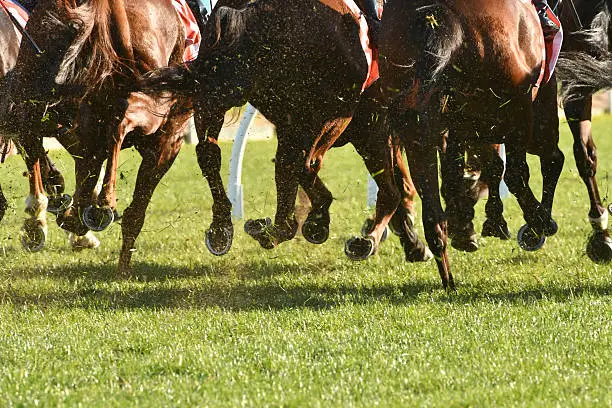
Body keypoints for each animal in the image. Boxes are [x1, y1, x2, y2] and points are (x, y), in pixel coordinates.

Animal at [378, 0, 564, 288]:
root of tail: (439, 15)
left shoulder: (461, 124)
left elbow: (465, 172)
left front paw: (472, 221)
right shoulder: (526, 103)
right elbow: (528, 165)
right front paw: (523, 222)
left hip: (418, 129)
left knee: (433, 213)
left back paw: (448, 277)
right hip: (515, 109)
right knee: (524, 170)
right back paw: (538, 222)